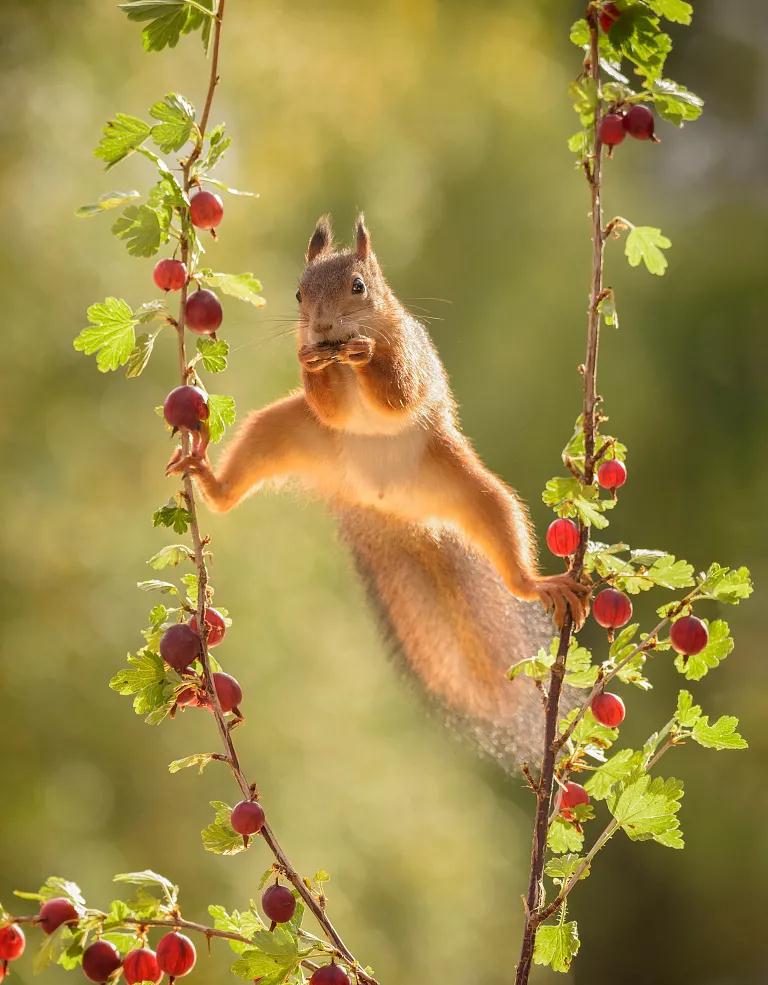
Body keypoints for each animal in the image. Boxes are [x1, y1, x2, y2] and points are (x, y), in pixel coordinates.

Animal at [170, 217, 588, 760]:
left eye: (358, 287)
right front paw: (310, 359)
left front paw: (366, 355)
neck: (341, 358)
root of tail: (386, 510)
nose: (322, 328)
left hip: (462, 480)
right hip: (284, 432)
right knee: (237, 481)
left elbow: (397, 392)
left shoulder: (409, 351)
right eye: (299, 293)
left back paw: (536, 583)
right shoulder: (321, 398)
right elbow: (329, 403)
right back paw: (207, 476)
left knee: (499, 522)